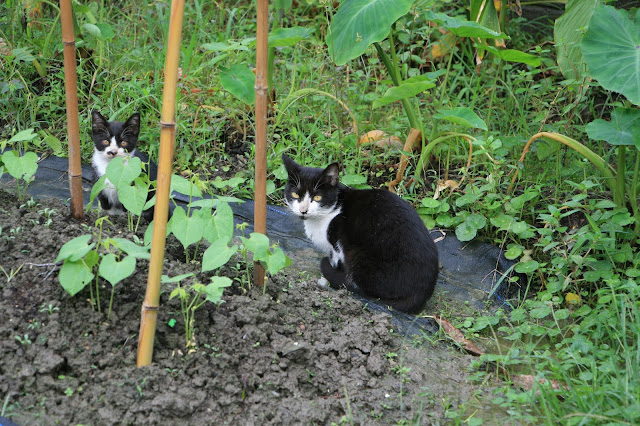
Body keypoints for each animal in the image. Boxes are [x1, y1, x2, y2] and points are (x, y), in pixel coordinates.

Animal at [282, 154, 439, 314]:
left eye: (317, 197)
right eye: (295, 194)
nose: (303, 210)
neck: (333, 209)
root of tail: (421, 295)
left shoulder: (337, 244)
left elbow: (335, 261)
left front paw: (331, 275)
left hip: (361, 256)